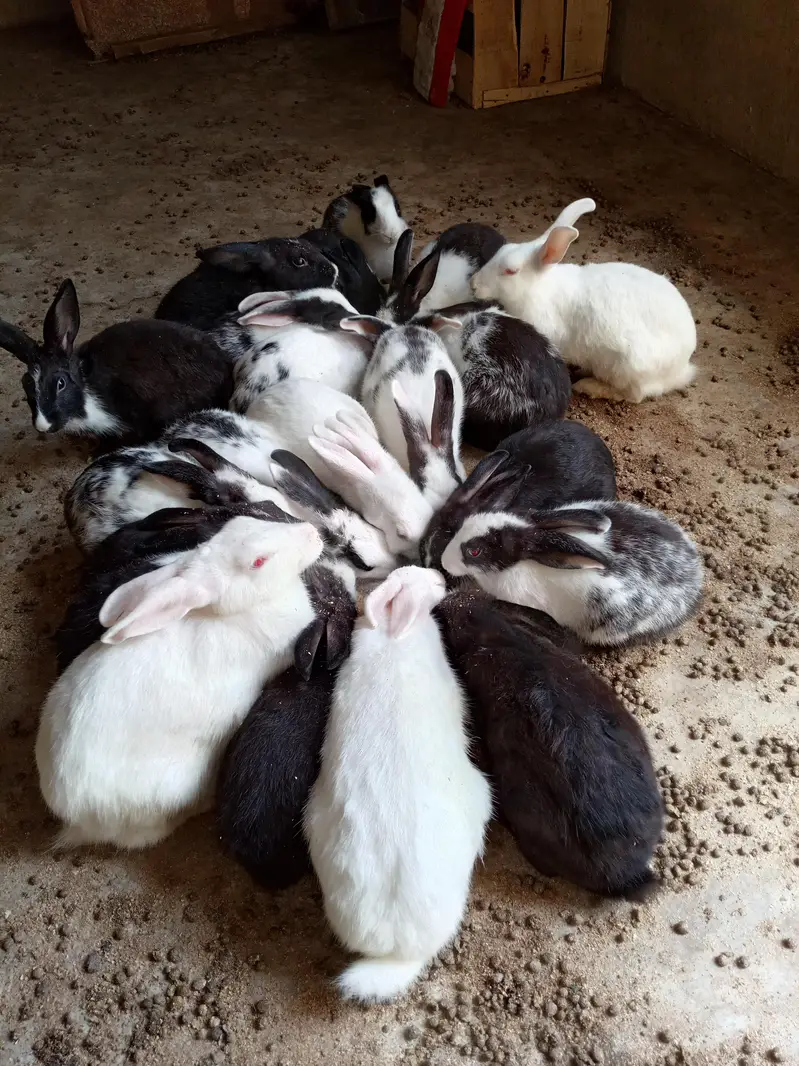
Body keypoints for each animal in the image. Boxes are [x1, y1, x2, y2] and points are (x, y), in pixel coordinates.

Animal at [471, 198, 697, 403]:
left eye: (510, 271)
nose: (473, 284)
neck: (538, 288)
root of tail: (682, 368)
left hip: (628, 366)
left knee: (633, 395)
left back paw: (589, 386)